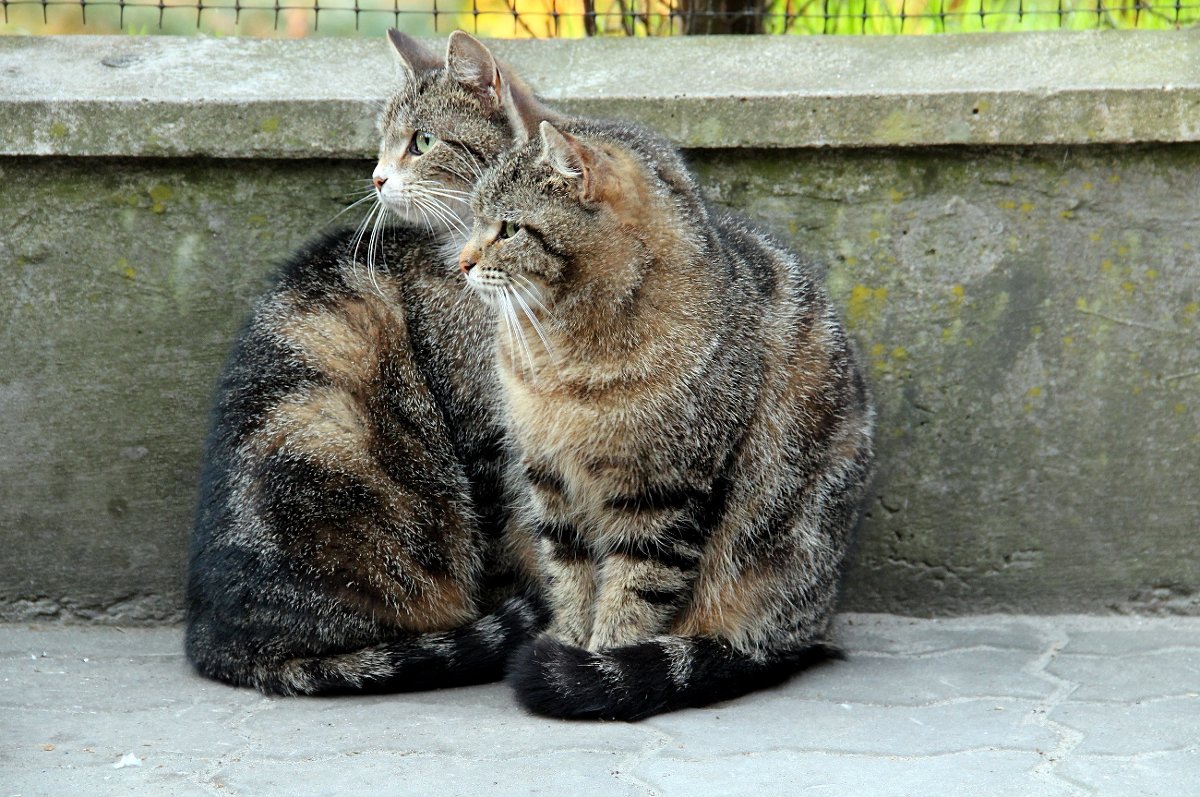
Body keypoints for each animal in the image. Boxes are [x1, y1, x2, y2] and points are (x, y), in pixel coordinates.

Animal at [184, 29, 547, 691]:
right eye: (382, 141)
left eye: (422, 141)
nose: (376, 178)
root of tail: (217, 641)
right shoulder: (483, 432)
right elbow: (513, 536)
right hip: (326, 439)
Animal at [458, 104, 873, 715]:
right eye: (474, 220)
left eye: (508, 229)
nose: (463, 262)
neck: (567, 355)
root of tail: (814, 626)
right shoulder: (552, 483)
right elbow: (570, 580)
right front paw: (569, 641)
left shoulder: (665, 491)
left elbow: (634, 592)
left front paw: (597, 663)